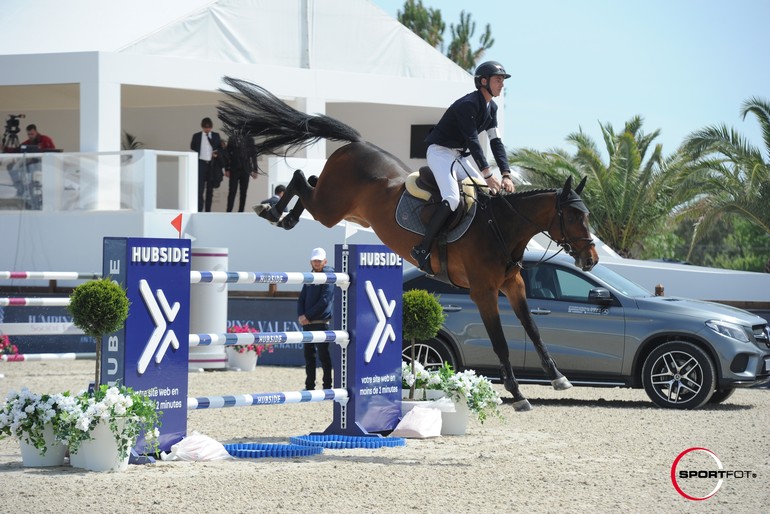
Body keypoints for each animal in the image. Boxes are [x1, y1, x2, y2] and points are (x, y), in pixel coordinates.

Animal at [219, 78, 596, 410]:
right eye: (575, 216)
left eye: (588, 214)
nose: (591, 259)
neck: (500, 227)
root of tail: (357, 143)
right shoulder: (484, 292)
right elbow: (500, 342)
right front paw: (518, 395)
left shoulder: (513, 284)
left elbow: (533, 330)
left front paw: (558, 377)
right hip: (330, 208)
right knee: (299, 179)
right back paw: (273, 211)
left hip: (349, 212)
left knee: (307, 179)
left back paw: (283, 216)